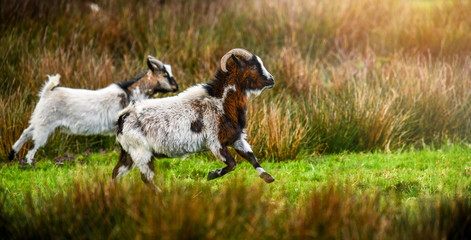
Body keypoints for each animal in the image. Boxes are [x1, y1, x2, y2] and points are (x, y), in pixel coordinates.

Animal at [9, 55, 179, 167]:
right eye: (165, 75)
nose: (176, 87)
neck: (131, 92)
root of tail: (47, 92)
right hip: (45, 124)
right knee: (33, 144)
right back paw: (30, 164)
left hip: (39, 119)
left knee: (26, 132)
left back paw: (12, 155)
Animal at [114, 47, 274, 192]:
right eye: (253, 66)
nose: (271, 80)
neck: (220, 102)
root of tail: (123, 117)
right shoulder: (215, 142)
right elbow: (232, 164)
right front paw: (212, 174)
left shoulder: (236, 138)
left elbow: (251, 157)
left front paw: (268, 178)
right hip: (141, 151)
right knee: (146, 178)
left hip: (128, 153)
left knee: (116, 174)